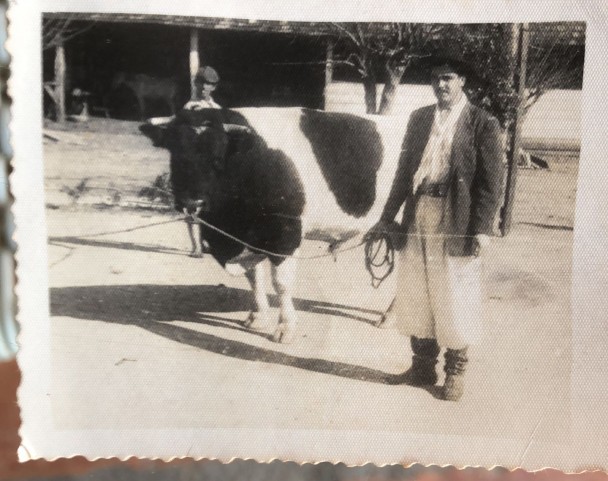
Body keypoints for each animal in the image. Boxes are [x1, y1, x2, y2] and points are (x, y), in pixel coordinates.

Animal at [140, 107, 408, 344]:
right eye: (175, 154)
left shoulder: (285, 235)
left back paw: (390, 317)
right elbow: (254, 278)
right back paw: (390, 317)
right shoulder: (249, 239)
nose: (191, 202)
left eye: (217, 157)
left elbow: (281, 283)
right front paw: (258, 317)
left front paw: (285, 328)